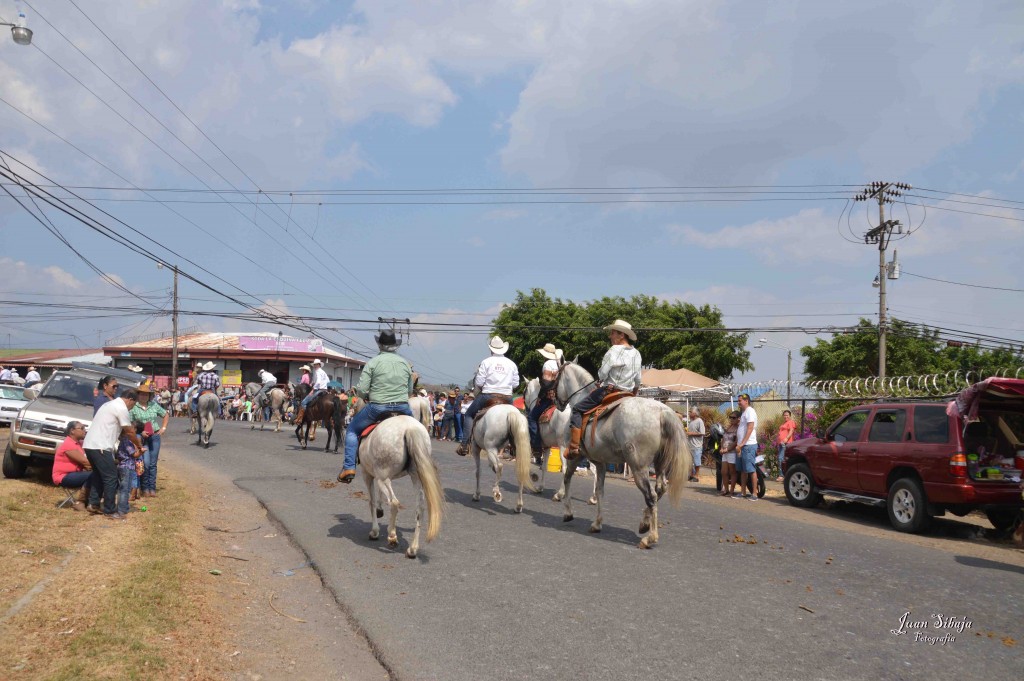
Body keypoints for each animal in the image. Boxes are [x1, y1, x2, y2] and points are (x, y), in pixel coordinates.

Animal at [356, 413, 444, 557]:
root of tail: (410, 428)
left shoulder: (367, 474)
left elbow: (372, 502)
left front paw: (375, 531)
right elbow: (378, 497)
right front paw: (380, 510)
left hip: (382, 478)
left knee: (394, 503)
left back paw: (392, 536)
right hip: (414, 476)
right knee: (419, 508)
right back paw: (412, 549)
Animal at [557, 360, 692, 548]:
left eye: (555, 377)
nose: (557, 403)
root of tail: (662, 411)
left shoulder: (575, 456)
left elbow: (567, 478)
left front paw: (568, 512)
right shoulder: (600, 462)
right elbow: (600, 491)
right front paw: (597, 523)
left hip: (638, 467)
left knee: (651, 495)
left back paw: (650, 537)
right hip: (660, 464)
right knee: (660, 489)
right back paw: (644, 524)